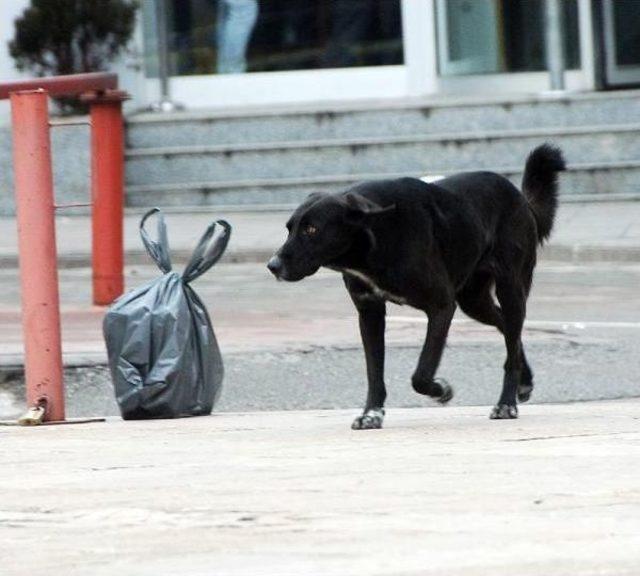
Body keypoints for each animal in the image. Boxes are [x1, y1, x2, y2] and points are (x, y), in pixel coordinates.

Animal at [268, 146, 568, 430]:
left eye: (311, 230)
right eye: (289, 228)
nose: (273, 265)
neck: (377, 233)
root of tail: (520, 198)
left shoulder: (442, 306)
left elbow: (421, 374)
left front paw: (441, 390)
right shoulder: (369, 313)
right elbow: (374, 372)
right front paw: (371, 414)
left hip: (511, 288)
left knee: (511, 340)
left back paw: (506, 404)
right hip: (474, 301)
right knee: (507, 330)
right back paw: (524, 381)